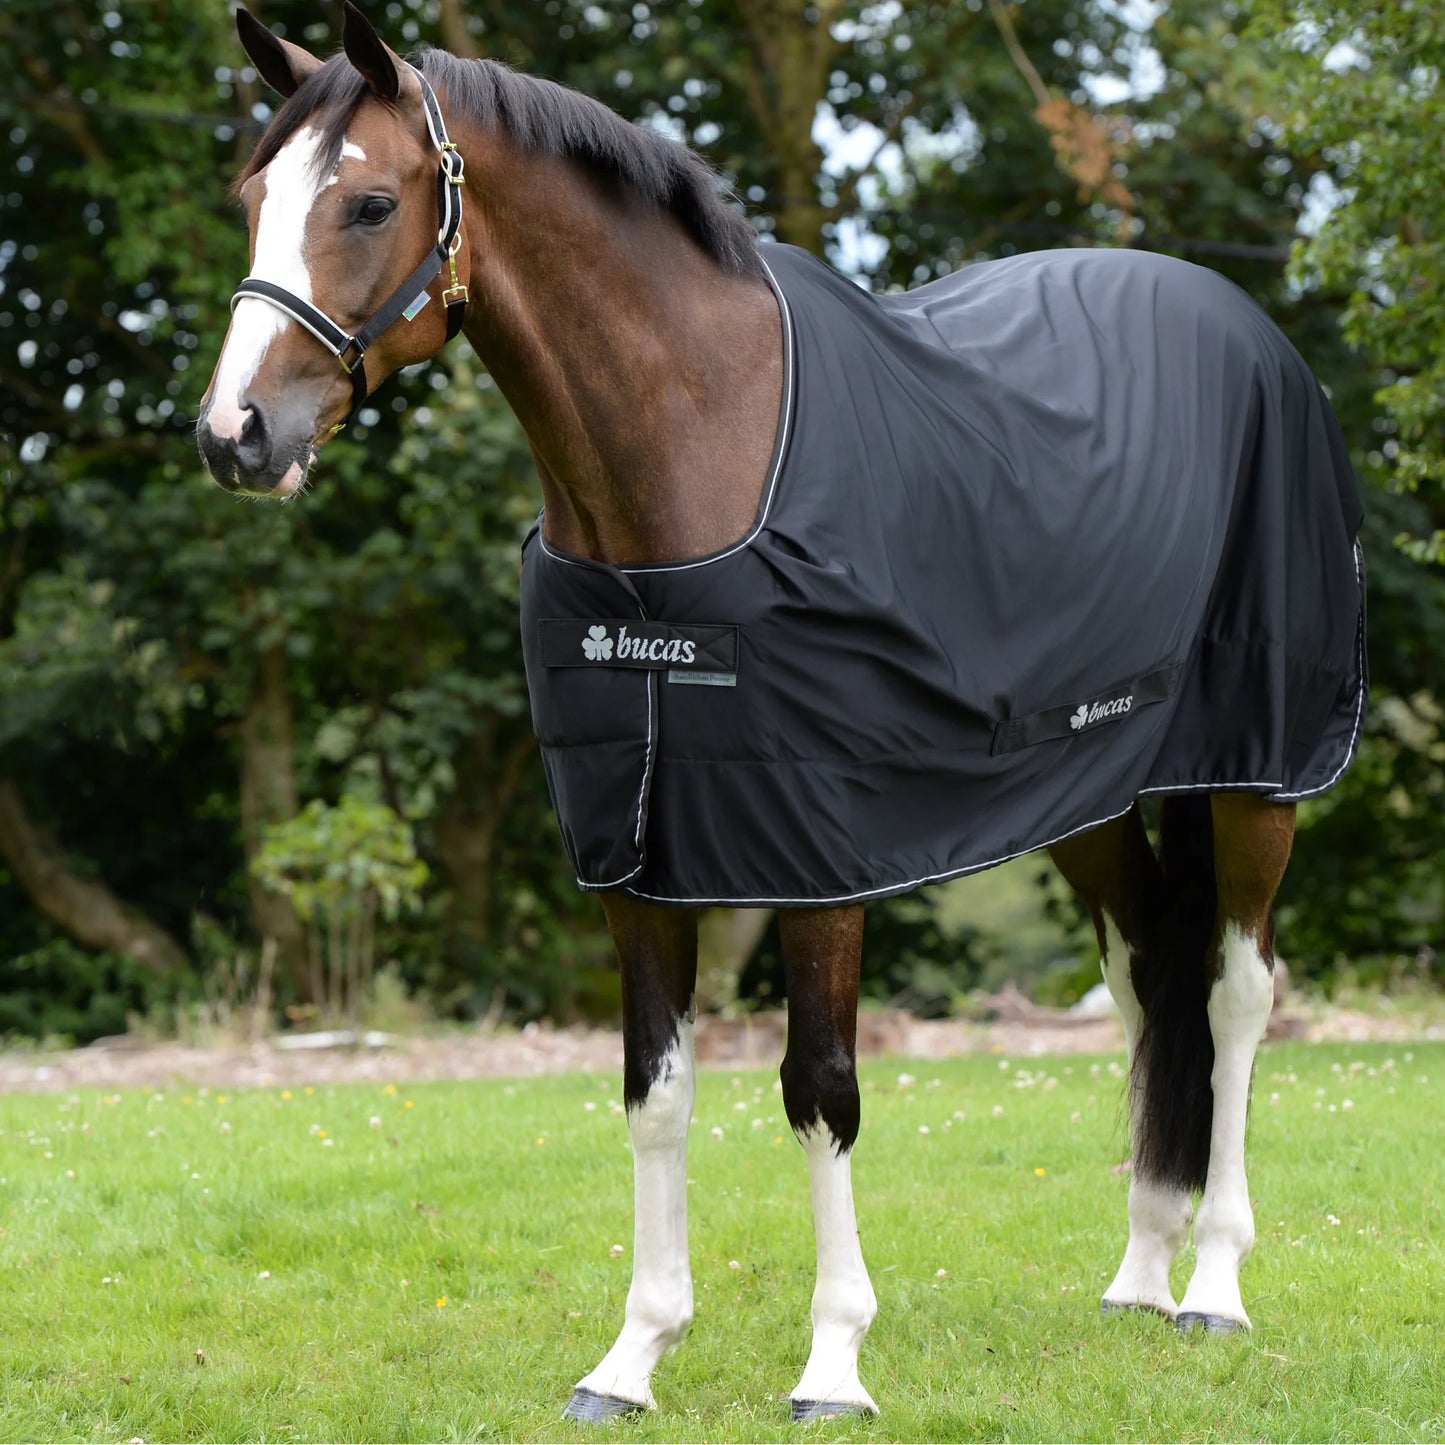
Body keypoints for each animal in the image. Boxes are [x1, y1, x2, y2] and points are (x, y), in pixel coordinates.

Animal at [197, 4, 1367, 1423]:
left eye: (368, 202)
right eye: (250, 197)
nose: (236, 434)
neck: (692, 457)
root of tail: (1251, 334)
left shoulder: (819, 854)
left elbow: (819, 1091)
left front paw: (832, 1362)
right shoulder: (632, 853)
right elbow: (653, 1093)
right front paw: (630, 1356)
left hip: (1257, 771)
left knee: (1237, 991)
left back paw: (1211, 1285)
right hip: (1076, 789)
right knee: (1148, 977)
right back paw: (1139, 1270)